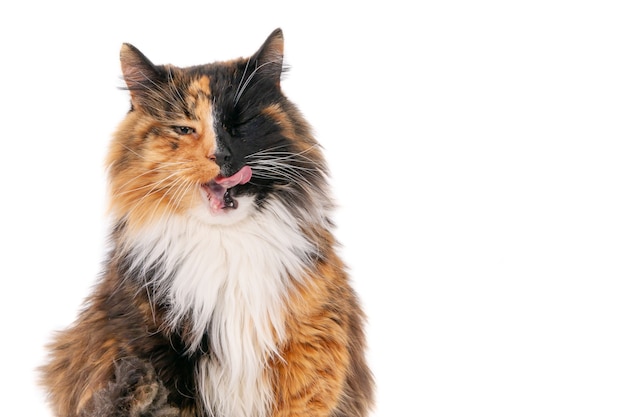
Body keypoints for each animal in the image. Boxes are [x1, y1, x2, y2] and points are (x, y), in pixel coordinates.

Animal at [41, 29, 372, 416]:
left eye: (240, 124)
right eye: (184, 129)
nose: (222, 156)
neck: (226, 243)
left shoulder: (312, 354)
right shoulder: (156, 355)